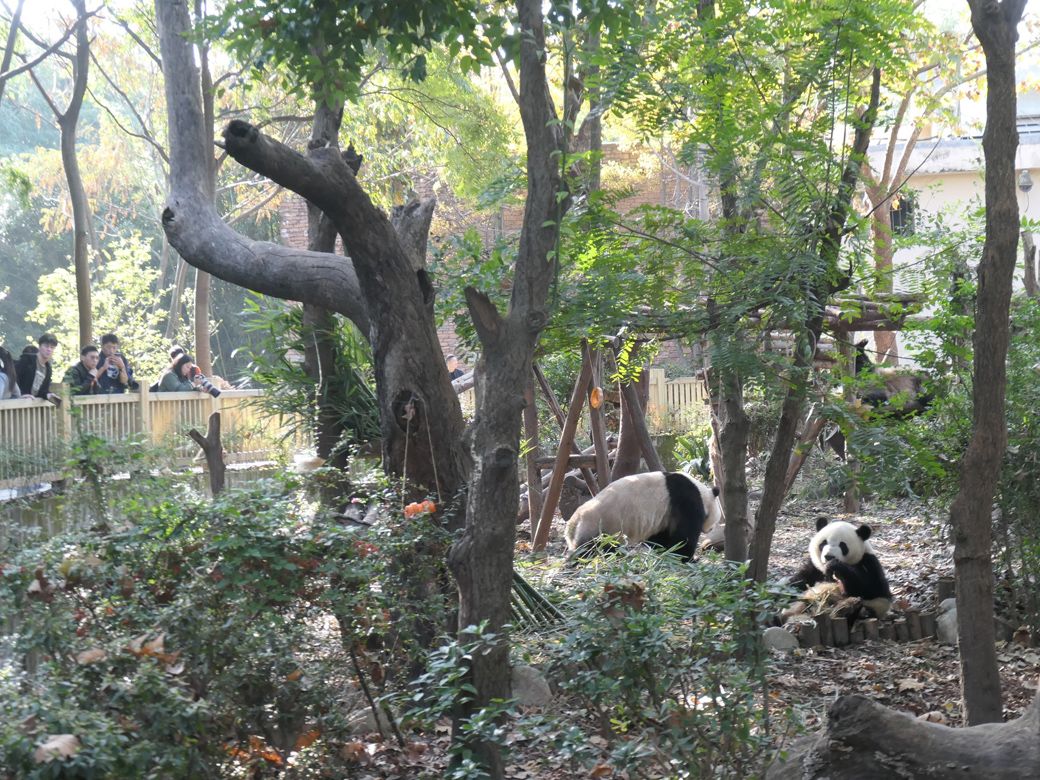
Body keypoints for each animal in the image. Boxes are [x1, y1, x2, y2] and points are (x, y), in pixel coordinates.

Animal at [565, 470, 719, 561]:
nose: (710, 530)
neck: (702, 493)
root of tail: (574, 522)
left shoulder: (663, 515)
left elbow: (659, 536)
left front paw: (664, 550)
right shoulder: (685, 500)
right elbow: (684, 534)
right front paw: (687, 557)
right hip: (600, 525)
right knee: (594, 547)